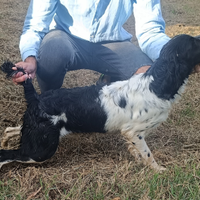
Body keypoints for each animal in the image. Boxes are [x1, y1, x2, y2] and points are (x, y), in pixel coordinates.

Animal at [1, 34, 200, 170]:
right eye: (194, 43)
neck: (156, 83)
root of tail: (36, 96)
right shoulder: (133, 132)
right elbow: (148, 154)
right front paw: (159, 170)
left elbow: (138, 152)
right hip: (41, 150)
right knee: (6, 154)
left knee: (11, 129)